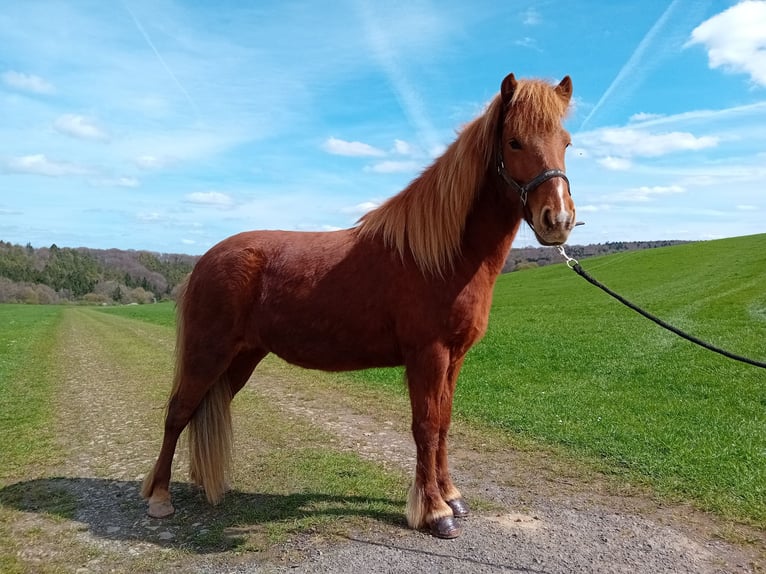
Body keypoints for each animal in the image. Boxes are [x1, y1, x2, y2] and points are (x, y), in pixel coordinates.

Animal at [142, 72, 576, 539]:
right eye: (514, 142)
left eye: (566, 142)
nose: (558, 220)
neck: (442, 256)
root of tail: (205, 260)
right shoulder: (428, 355)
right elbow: (425, 427)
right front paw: (434, 511)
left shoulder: (454, 358)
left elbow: (443, 424)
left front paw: (451, 496)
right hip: (206, 354)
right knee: (177, 413)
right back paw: (159, 498)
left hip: (240, 359)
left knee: (204, 408)